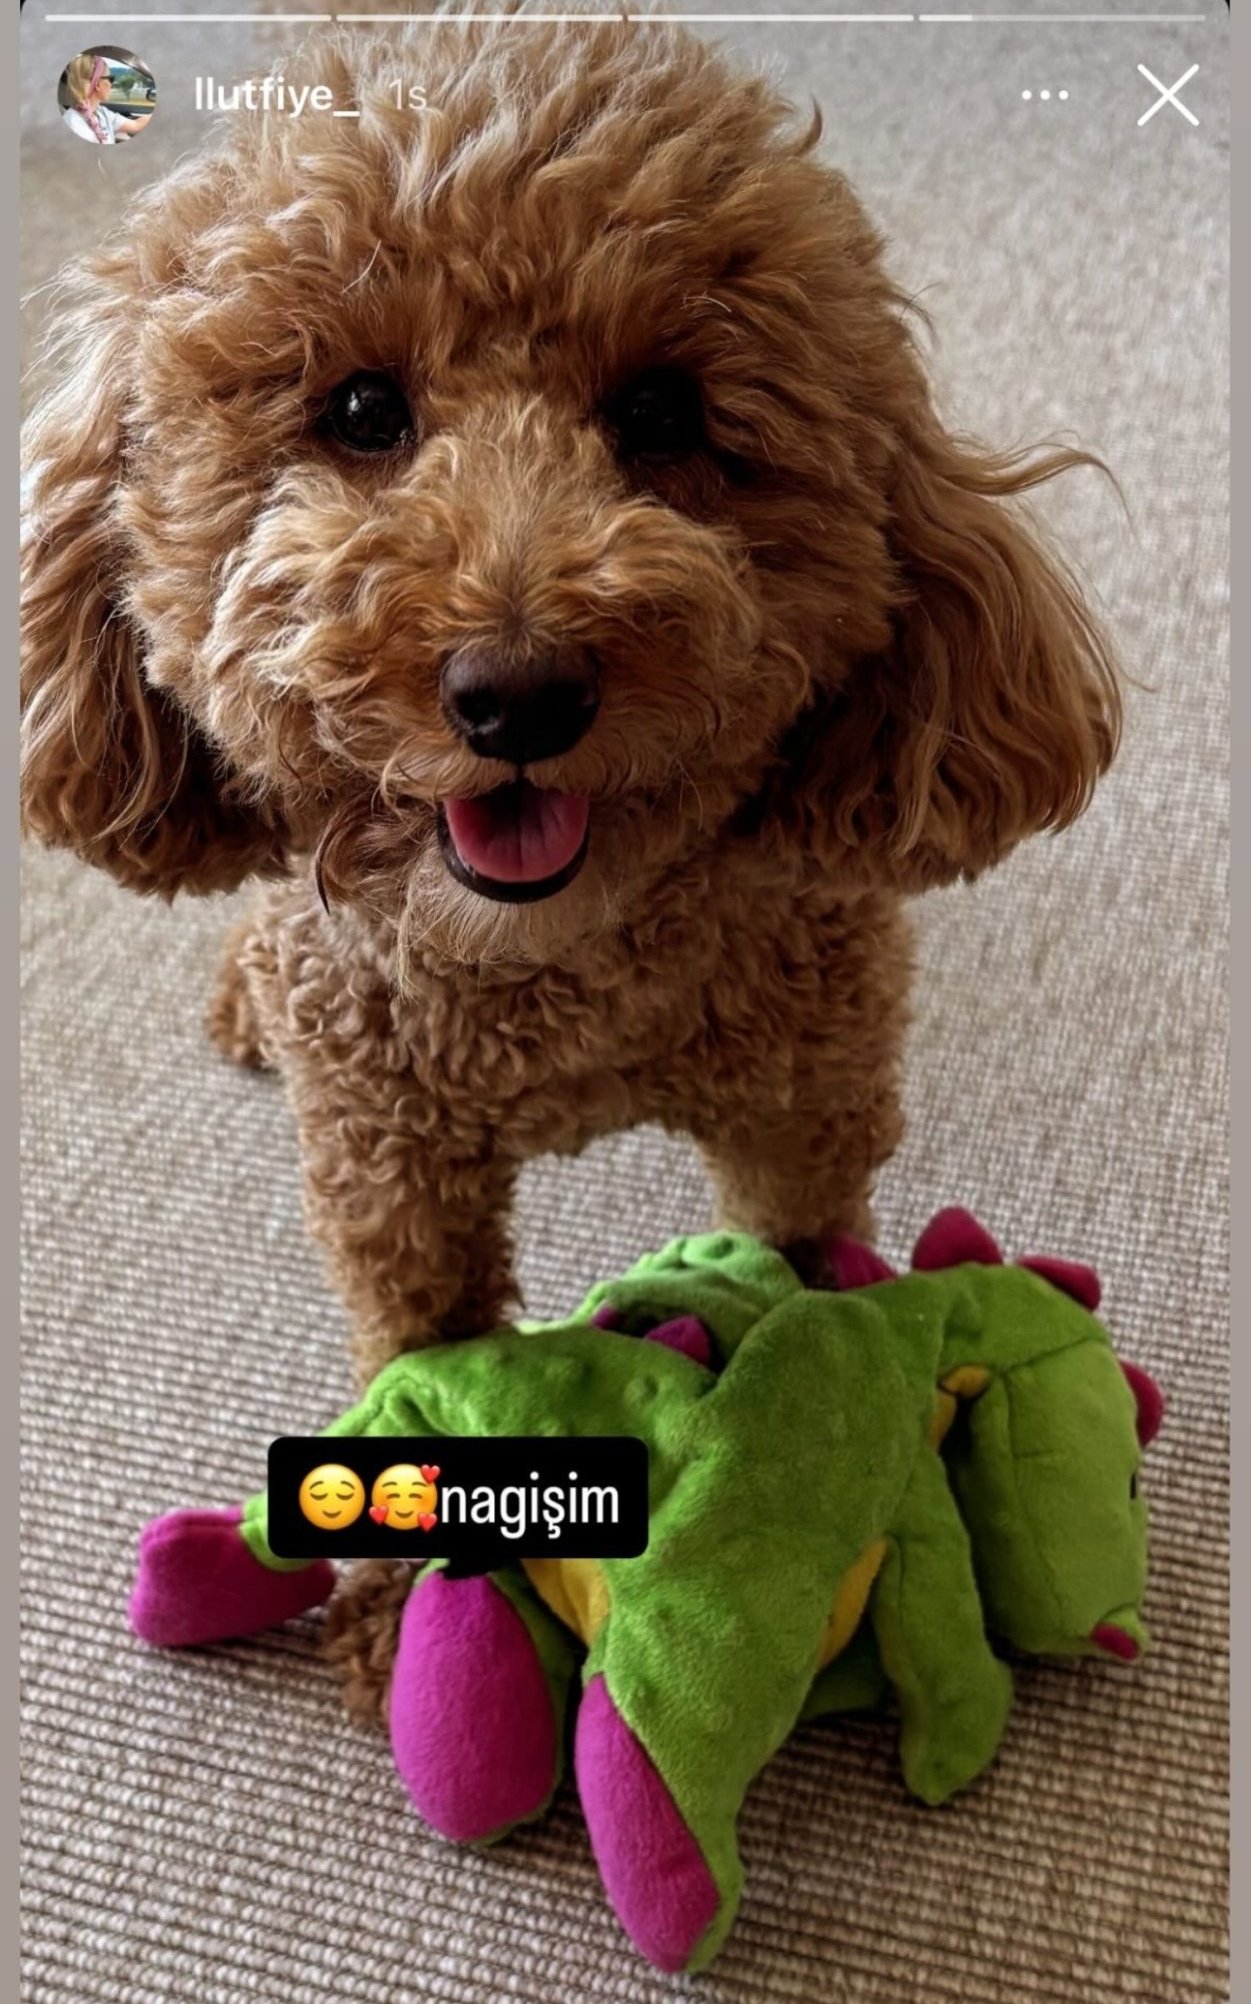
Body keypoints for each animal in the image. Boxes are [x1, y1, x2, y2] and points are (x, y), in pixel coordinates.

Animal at [19, 13, 1120, 1720]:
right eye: (360, 410)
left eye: (664, 414)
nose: (516, 693)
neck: (554, 982)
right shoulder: (390, 1163)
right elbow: (419, 1346)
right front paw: (404, 1587)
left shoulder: (803, 1101)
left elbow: (798, 1262)